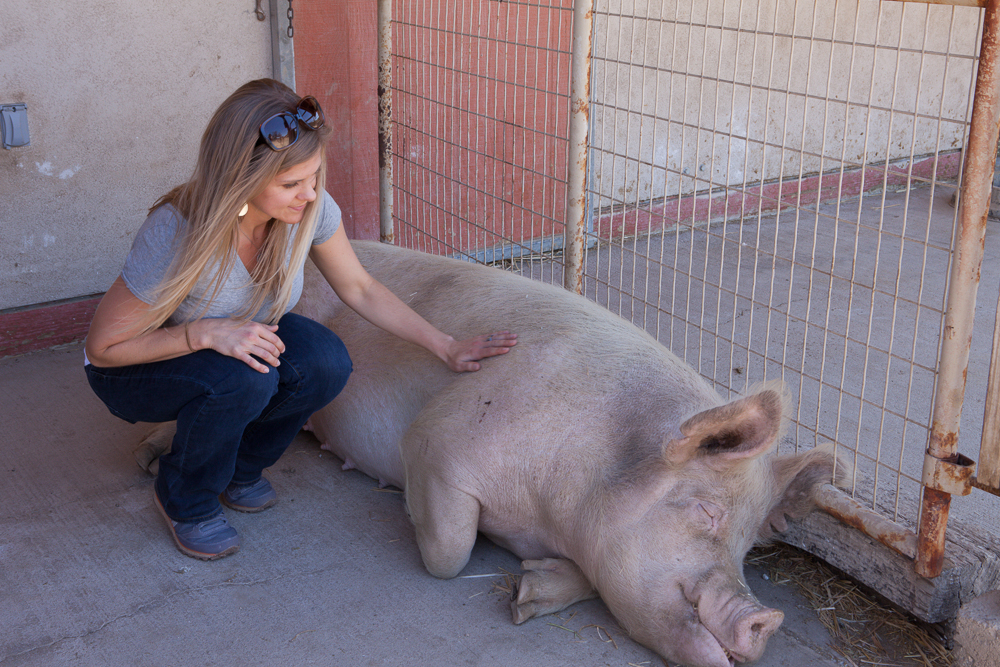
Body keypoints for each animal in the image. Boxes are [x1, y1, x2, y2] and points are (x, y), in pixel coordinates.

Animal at [133, 241, 836, 667]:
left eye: (748, 546)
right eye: (706, 513)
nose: (768, 619)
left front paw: (526, 597)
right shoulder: (438, 442)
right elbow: (449, 555)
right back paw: (151, 458)